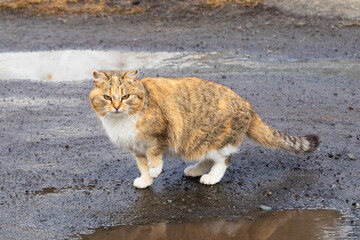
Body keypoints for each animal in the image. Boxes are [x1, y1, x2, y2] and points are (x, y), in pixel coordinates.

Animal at [88, 68, 320, 188]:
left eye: (125, 96)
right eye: (107, 97)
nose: (116, 107)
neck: (121, 121)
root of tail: (247, 104)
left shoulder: (157, 137)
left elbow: (153, 158)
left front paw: (154, 171)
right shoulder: (136, 148)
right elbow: (142, 165)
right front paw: (146, 180)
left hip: (213, 137)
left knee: (223, 159)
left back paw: (211, 177)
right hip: (200, 141)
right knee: (209, 157)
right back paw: (195, 169)